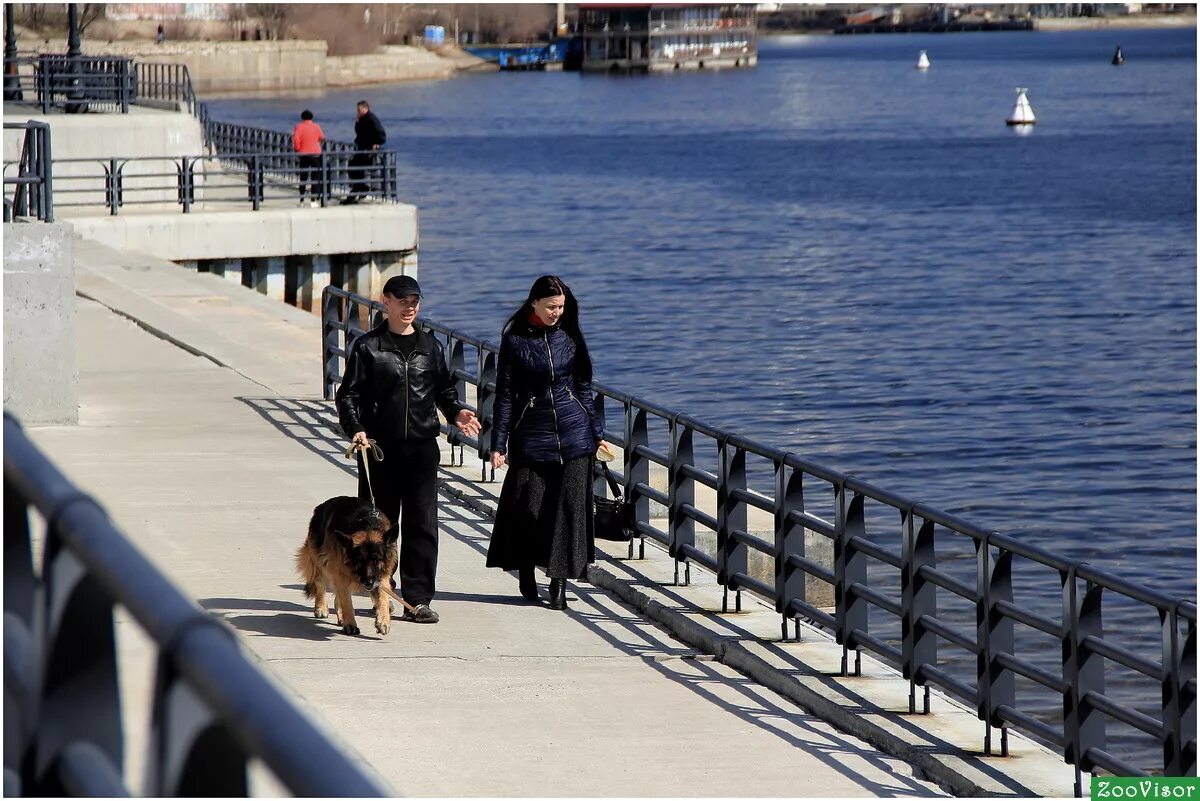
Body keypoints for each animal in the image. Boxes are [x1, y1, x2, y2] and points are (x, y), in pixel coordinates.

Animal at [296, 496, 398, 633]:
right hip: (322, 562)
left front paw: (383, 620)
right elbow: (347, 603)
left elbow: (383, 597)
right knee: (320, 582)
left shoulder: (381, 576)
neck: (367, 528)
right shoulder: (342, 573)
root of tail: (322, 506)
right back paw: (321, 607)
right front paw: (350, 624)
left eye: (377, 560)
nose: (369, 583)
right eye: (359, 561)